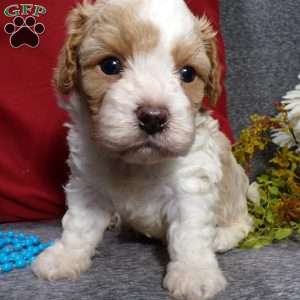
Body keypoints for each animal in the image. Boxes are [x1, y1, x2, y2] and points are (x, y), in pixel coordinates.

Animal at [32, 1, 252, 298]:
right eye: (110, 65)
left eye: (188, 73)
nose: (153, 117)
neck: (137, 163)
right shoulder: (88, 185)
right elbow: (79, 224)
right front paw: (65, 257)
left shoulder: (190, 186)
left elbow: (191, 234)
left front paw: (194, 274)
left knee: (241, 224)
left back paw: (221, 236)